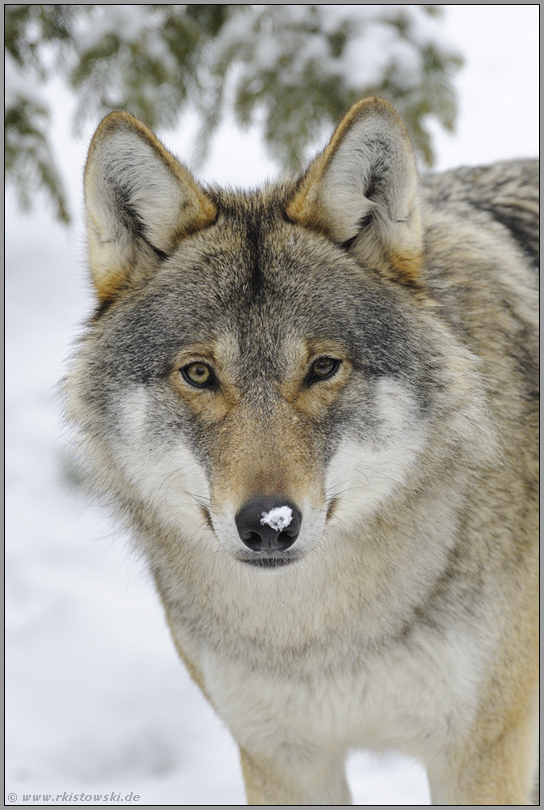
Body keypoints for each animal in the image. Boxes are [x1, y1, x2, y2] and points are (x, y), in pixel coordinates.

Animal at [65, 97, 538, 805]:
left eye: (322, 368)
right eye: (199, 374)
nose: (269, 525)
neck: (317, 637)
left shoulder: (481, 754)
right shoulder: (281, 758)